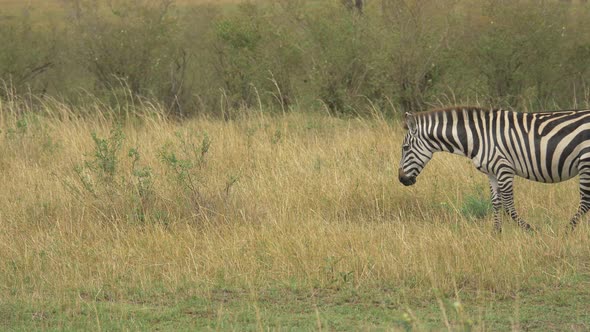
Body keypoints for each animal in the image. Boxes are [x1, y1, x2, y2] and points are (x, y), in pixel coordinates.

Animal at [400, 106, 590, 231]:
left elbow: (509, 205)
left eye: (405, 148)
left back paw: (567, 230)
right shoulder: (492, 173)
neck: (478, 138)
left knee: (585, 202)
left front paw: (529, 229)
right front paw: (496, 232)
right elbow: (496, 202)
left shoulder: (504, 169)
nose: (401, 179)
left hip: (585, 162)